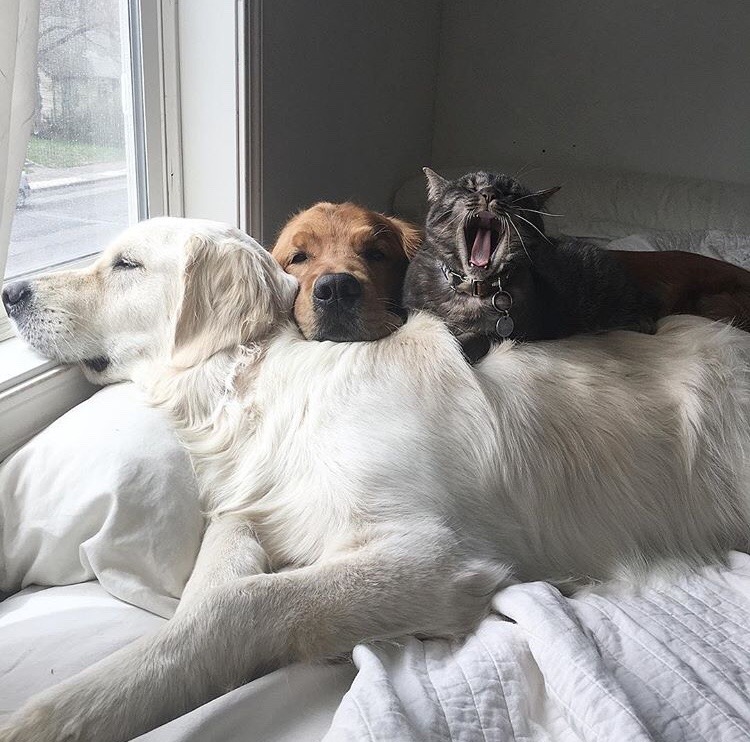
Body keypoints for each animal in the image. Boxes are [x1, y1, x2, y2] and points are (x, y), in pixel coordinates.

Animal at [2, 217, 750, 742]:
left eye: (126, 263)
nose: (11, 290)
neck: (267, 382)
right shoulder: (264, 507)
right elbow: (218, 573)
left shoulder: (435, 556)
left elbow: (246, 605)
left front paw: (64, 712)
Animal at [403, 168, 662, 362]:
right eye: (470, 187)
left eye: (511, 193)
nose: (490, 193)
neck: (472, 291)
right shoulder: (411, 308)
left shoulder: (515, 332)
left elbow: (476, 339)